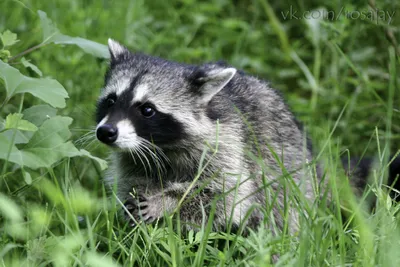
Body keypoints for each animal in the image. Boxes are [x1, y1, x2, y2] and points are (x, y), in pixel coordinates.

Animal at [95, 38, 318, 233]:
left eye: (147, 110)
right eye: (111, 101)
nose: (106, 132)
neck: (161, 146)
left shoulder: (227, 144)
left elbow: (223, 194)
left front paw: (167, 201)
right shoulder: (132, 158)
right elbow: (132, 180)